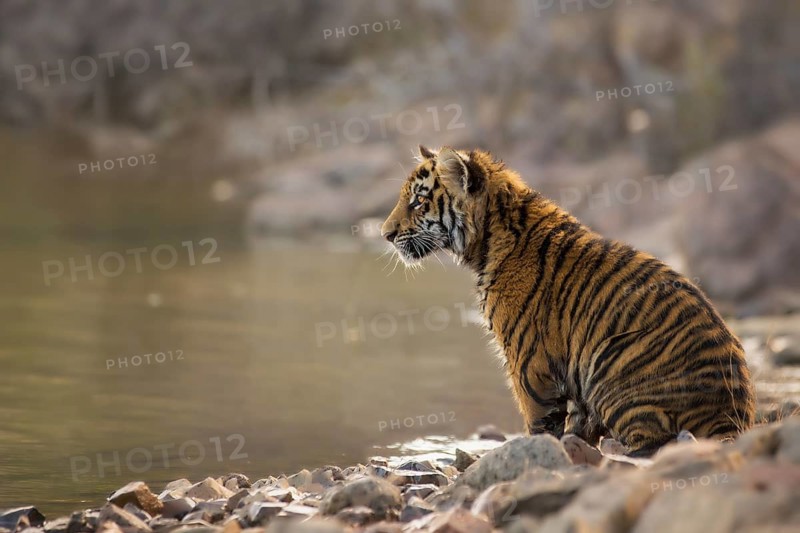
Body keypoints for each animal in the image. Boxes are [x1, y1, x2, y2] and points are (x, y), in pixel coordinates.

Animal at [380, 145, 755, 456]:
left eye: (418, 202)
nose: (385, 234)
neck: (488, 239)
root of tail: (732, 418)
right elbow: (576, 421)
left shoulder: (527, 364)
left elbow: (539, 422)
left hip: (612, 358)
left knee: (654, 442)